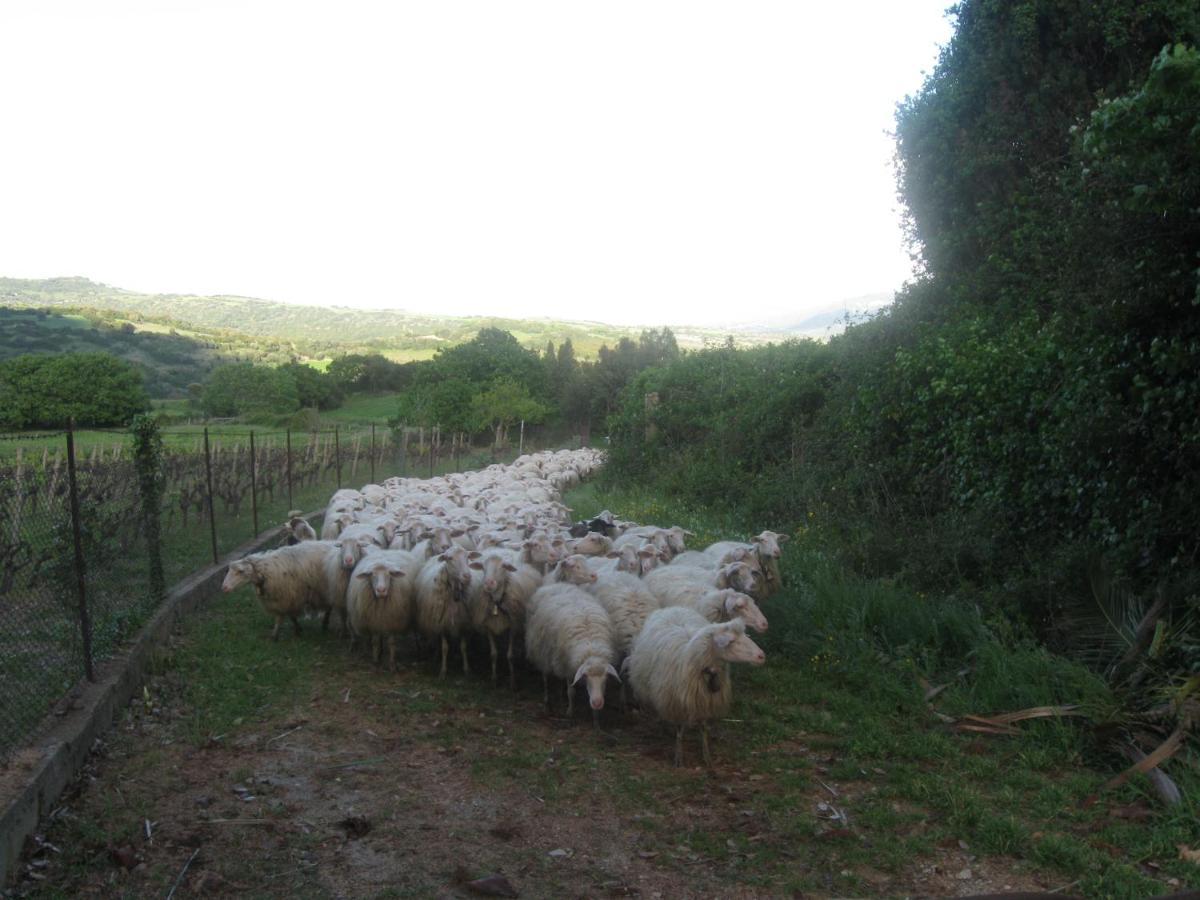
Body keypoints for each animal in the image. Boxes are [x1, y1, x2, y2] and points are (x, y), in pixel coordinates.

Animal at [624, 607, 763, 768]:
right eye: (732, 641)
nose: (761, 656)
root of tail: (672, 608)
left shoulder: (707, 699)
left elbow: (703, 728)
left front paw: (706, 756)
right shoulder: (676, 702)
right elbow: (679, 730)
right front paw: (678, 757)